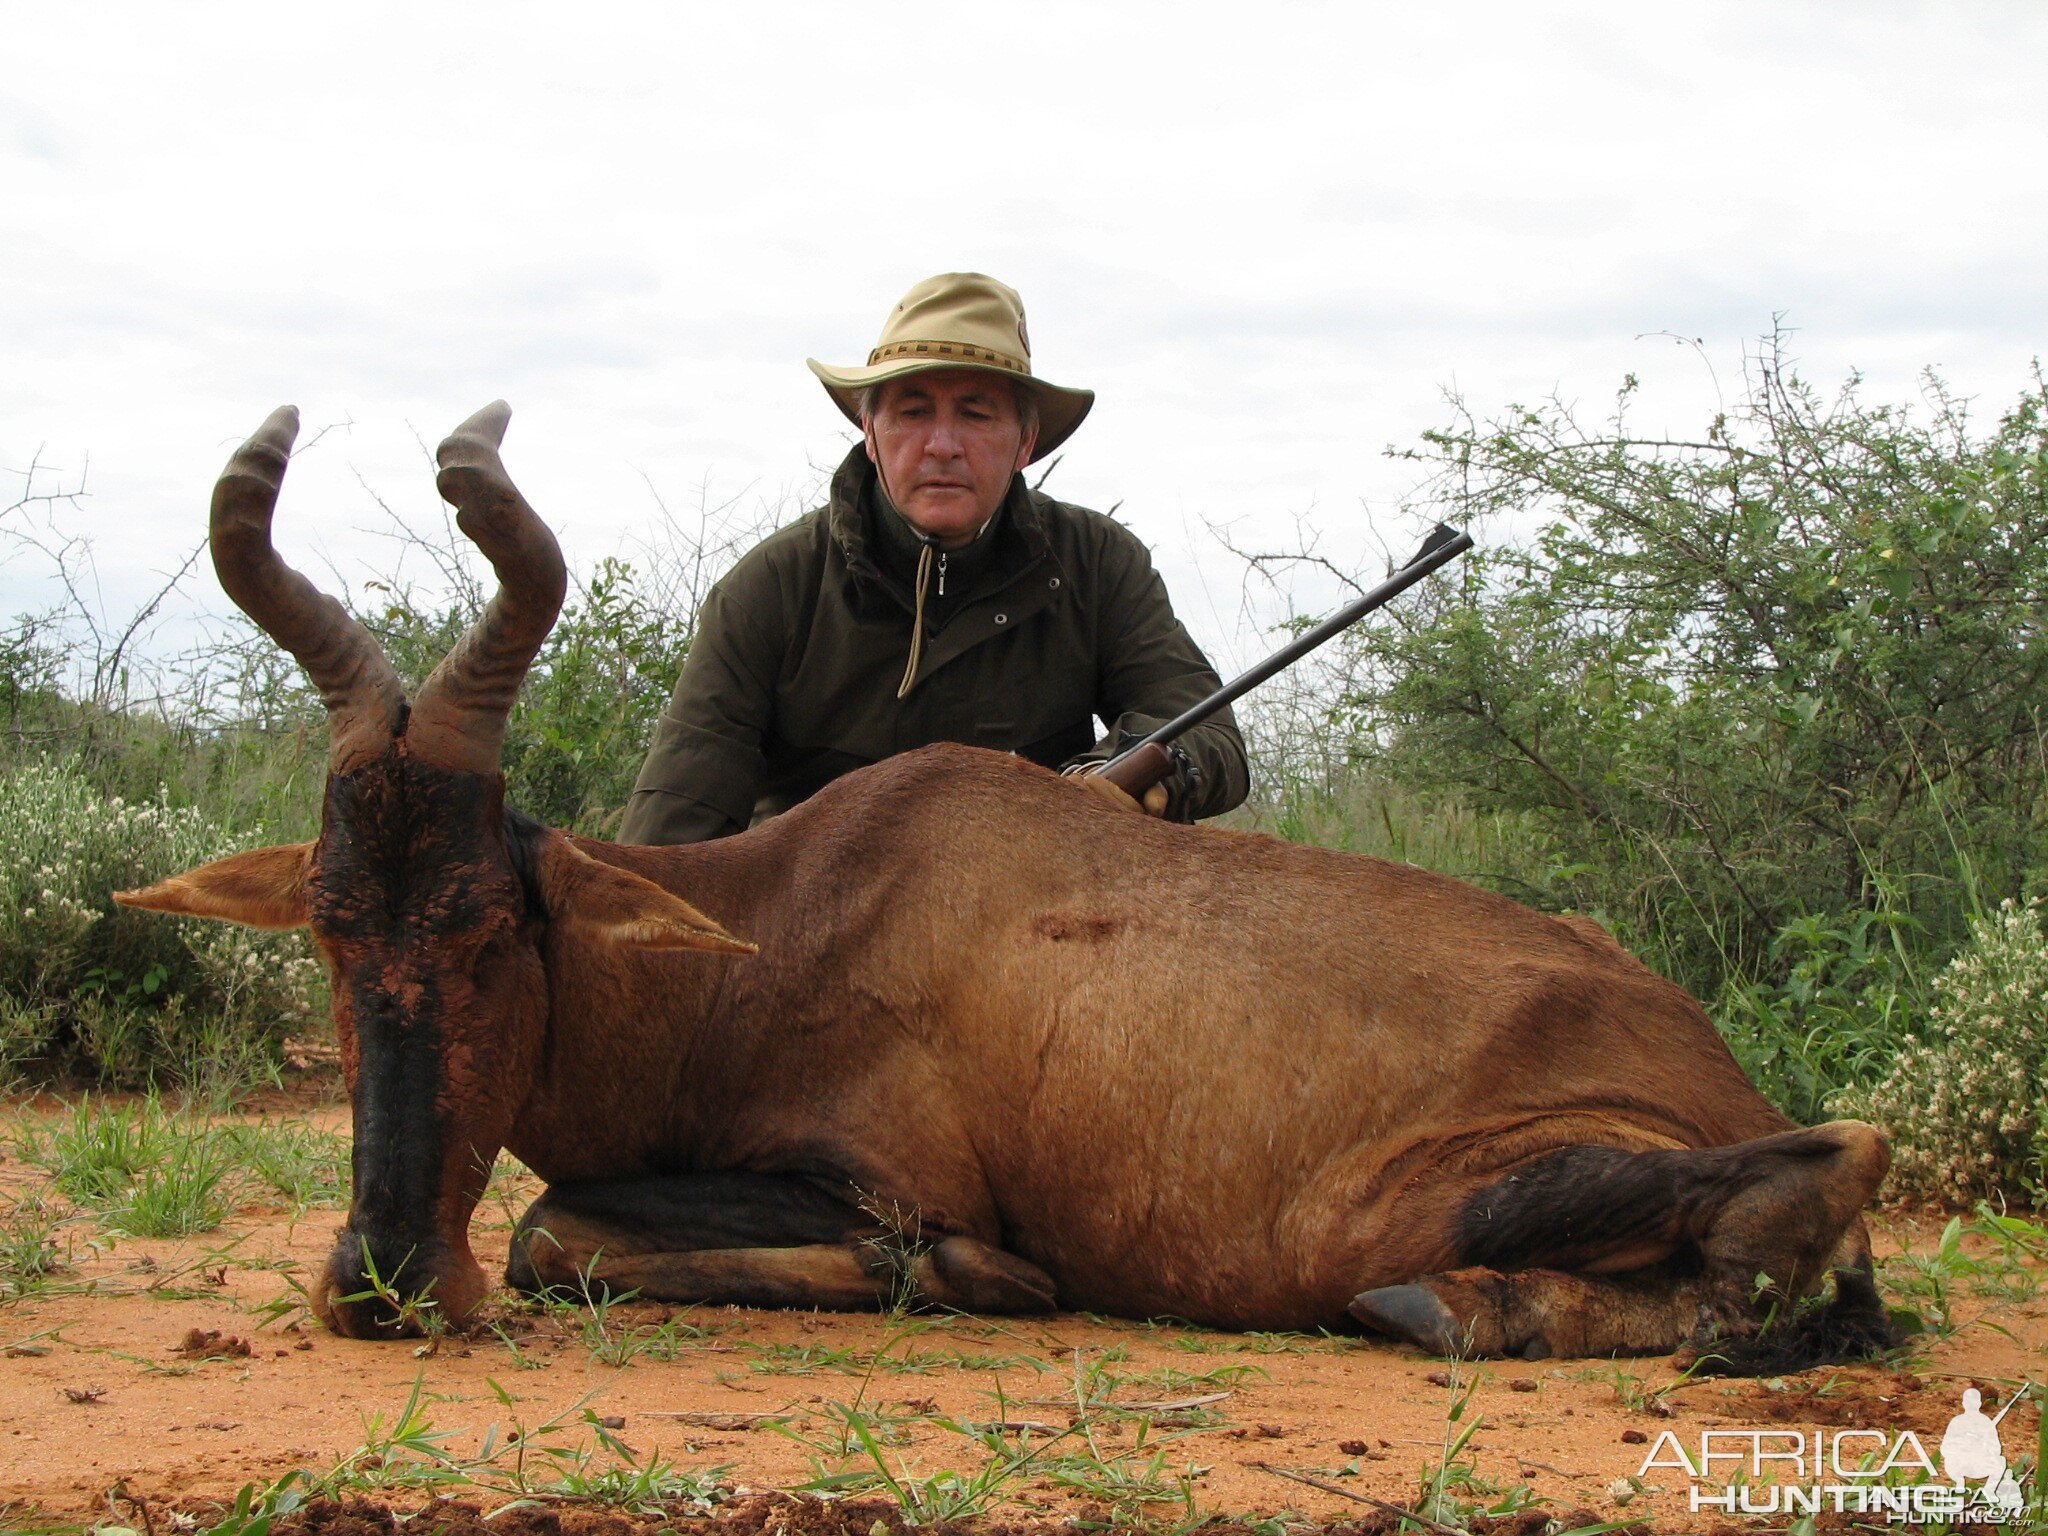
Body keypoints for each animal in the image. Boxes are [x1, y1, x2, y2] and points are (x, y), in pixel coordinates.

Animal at [119, 405, 1892, 1368]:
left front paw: (982, 1278)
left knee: (1831, 1168)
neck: (778, 917)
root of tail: (1695, 1042)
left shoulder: (875, 1174)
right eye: (333, 928)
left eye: (493, 925)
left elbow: (563, 1228)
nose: (383, 1283)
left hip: (1440, 1192)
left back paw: (1463, 1310)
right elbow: (563, 1227)